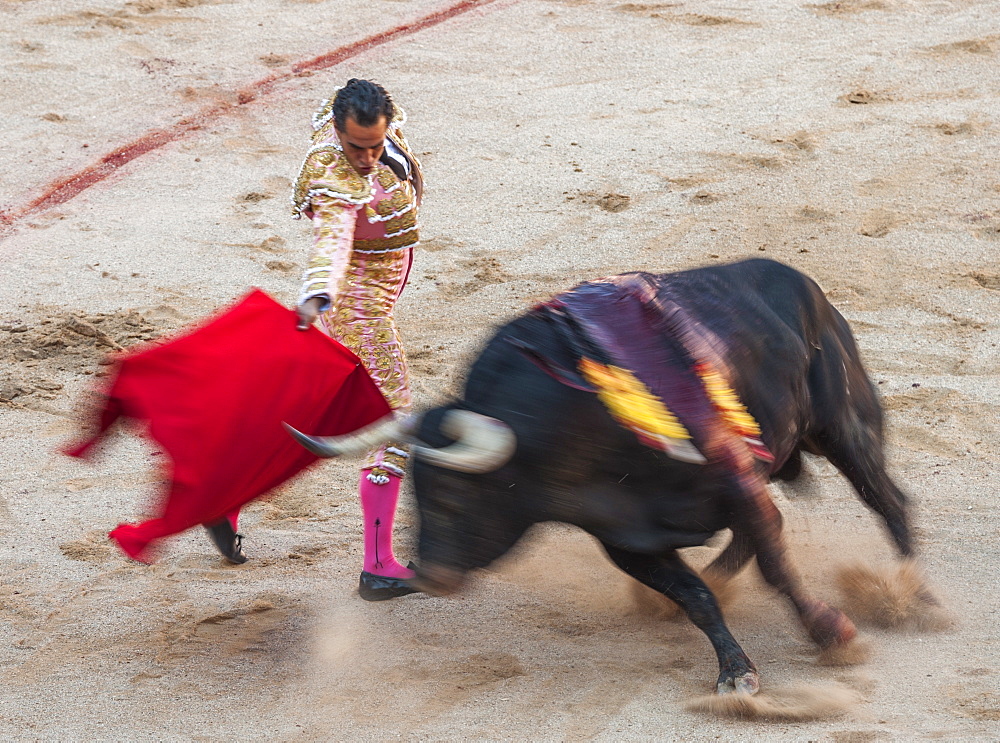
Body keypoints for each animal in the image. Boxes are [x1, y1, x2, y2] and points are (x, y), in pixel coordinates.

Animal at [286, 258, 916, 696]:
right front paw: (734, 669)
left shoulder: (735, 479)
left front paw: (832, 634)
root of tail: (804, 284)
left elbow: (778, 564)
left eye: (458, 496)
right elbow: (698, 596)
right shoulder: (625, 537)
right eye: (417, 494)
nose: (431, 575)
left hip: (843, 424)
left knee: (887, 499)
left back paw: (911, 592)